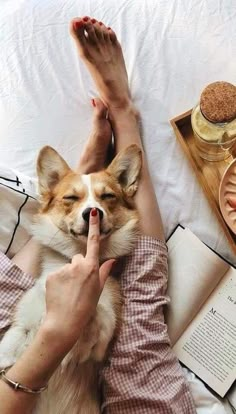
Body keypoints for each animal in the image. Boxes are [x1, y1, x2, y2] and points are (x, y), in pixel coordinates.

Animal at [0, 144, 141, 414]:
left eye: (108, 196)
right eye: (70, 198)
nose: (92, 212)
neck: (79, 257)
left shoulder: (102, 343)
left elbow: (99, 315)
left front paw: (76, 344)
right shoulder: (21, 326)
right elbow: (7, 347)